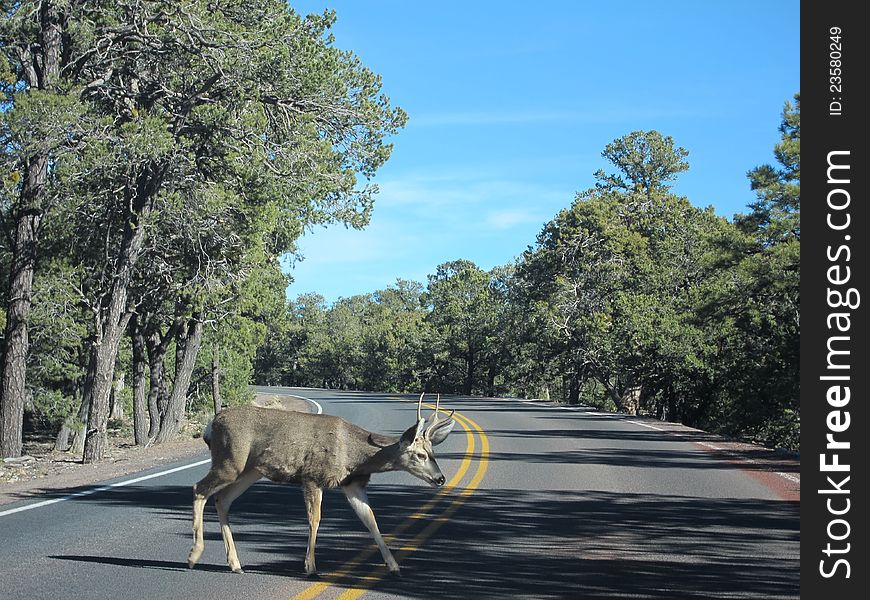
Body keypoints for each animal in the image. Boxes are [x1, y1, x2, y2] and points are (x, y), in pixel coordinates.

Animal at [185, 394, 456, 576]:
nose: (440, 478)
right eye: (420, 455)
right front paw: (310, 566)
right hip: (230, 461)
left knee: (222, 499)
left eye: (433, 452)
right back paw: (194, 555)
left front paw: (394, 565)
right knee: (198, 489)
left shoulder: (352, 485)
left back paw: (235, 564)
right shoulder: (312, 477)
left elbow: (371, 520)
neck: (354, 456)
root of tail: (210, 425)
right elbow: (314, 520)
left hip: (250, 470)